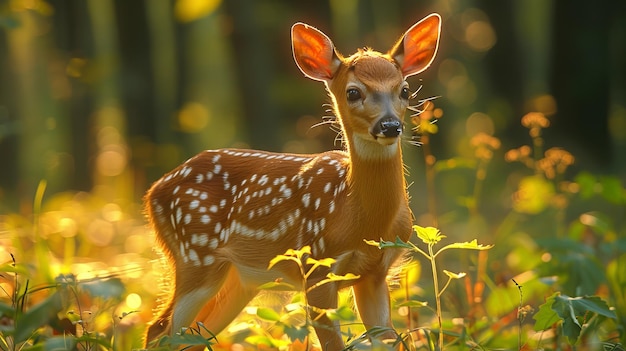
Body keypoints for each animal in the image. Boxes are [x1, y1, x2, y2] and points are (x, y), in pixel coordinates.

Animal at [144, 13, 442, 350]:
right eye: (353, 92)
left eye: (404, 90)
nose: (390, 125)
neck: (358, 215)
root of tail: (152, 192)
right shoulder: (316, 267)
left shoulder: (375, 273)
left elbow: (388, 338)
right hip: (194, 255)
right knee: (160, 330)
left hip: (237, 279)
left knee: (189, 335)